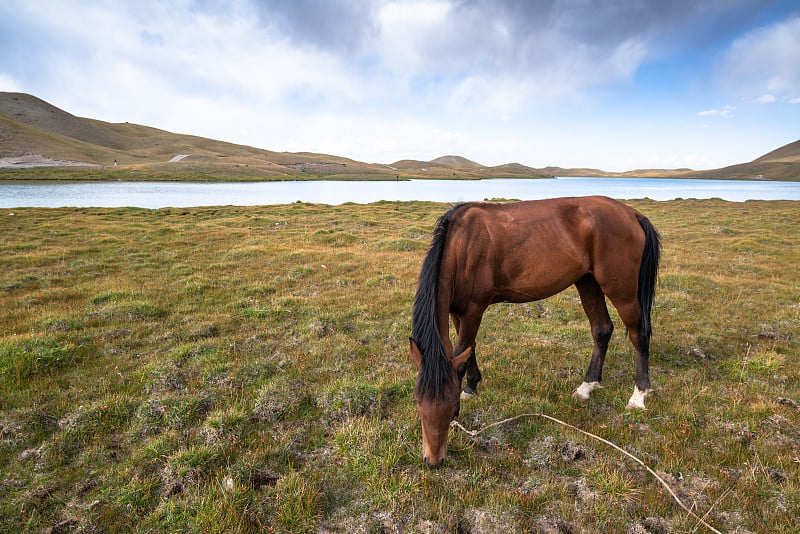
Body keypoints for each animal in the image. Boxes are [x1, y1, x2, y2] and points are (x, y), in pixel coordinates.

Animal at [410, 197, 660, 468]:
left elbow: (464, 349)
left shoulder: (474, 309)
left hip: (621, 290)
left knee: (639, 335)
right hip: (588, 281)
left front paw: (468, 389)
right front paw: (472, 386)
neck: (463, 244)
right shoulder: (459, 311)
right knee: (602, 330)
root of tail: (631, 213)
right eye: (418, 402)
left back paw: (639, 394)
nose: (433, 461)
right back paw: (588, 385)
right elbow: (468, 350)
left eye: (452, 408)